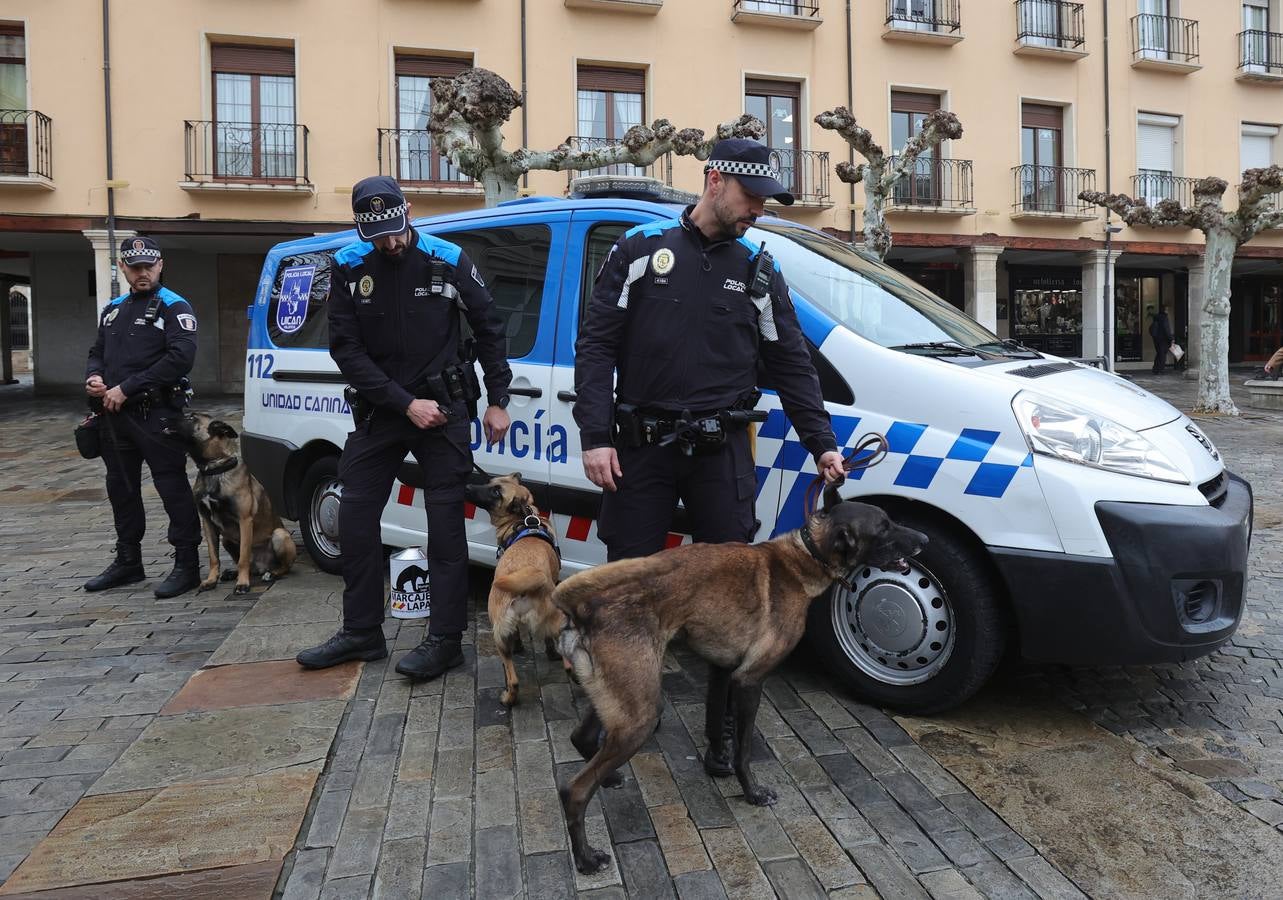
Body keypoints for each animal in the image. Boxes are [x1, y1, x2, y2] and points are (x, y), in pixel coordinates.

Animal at [169, 410, 296, 593]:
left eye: (191, 418)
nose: (163, 419)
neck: (215, 469)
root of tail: (262, 566)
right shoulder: (207, 522)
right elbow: (214, 557)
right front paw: (211, 580)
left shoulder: (245, 520)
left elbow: (243, 557)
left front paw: (242, 584)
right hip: (226, 539)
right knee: (249, 565)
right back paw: (233, 573)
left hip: (280, 535)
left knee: (282, 567)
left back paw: (271, 574)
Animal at [461, 469, 561, 708]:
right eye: (490, 482)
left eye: (497, 492)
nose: (467, 486)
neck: (524, 522)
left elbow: (516, 636)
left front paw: (519, 647)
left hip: (498, 635)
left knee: (513, 678)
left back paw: (508, 699)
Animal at [556, 487, 928, 873]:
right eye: (884, 527)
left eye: (891, 520)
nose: (925, 540)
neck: (804, 556)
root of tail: (585, 610)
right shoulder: (750, 680)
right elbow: (744, 750)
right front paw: (752, 792)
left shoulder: (725, 670)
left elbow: (719, 721)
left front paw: (719, 762)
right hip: (641, 714)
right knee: (574, 790)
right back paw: (586, 857)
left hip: (625, 698)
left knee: (582, 738)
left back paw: (608, 777)